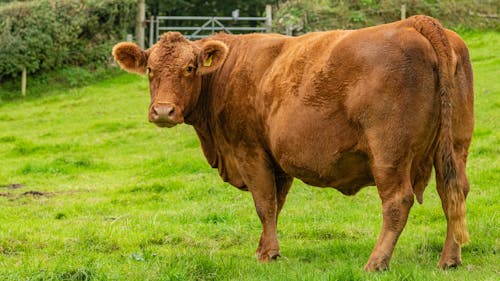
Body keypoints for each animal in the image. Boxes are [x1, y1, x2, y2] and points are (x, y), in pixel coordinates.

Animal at [112, 15, 472, 270]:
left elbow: (265, 203)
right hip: (454, 145)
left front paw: (268, 254)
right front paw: (263, 248)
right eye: (150, 69)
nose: (163, 111)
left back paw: (376, 262)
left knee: (398, 201)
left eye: (189, 68)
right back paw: (449, 260)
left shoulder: (249, 150)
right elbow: (276, 203)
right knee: (453, 191)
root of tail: (414, 22)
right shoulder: (277, 161)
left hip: (389, 151)